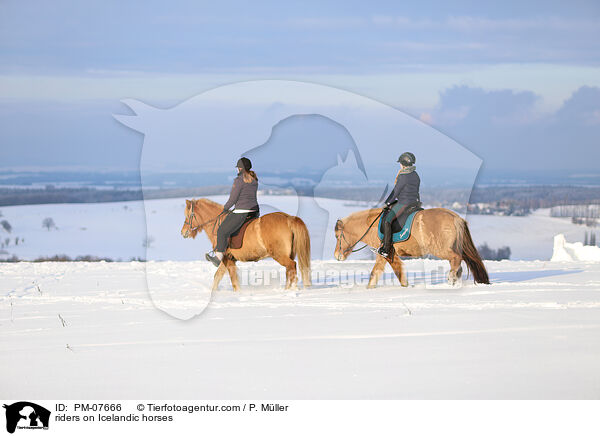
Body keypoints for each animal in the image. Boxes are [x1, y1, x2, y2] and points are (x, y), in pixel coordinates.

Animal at [180, 199, 312, 292]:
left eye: (188, 216)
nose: (183, 232)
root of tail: (289, 218)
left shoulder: (227, 258)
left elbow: (233, 279)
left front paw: (238, 293)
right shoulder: (229, 259)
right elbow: (217, 276)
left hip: (279, 255)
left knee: (292, 266)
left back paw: (291, 290)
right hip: (289, 254)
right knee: (289, 270)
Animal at [336, 209, 490, 290]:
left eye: (338, 236)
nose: (337, 256)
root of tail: (456, 218)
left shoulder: (384, 253)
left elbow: (375, 272)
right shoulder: (391, 255)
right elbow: (398, 272)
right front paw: (406, 286)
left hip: (441, 250)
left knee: (456, 258)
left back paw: (451, 279)